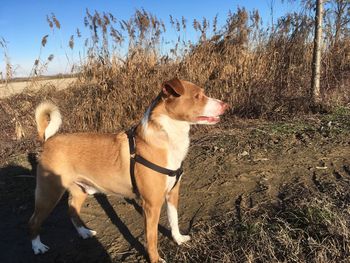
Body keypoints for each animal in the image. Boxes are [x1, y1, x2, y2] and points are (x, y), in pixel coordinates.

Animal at [29, 79, 230, 263]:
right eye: (198, 96)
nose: (225, 105)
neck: (166, 139)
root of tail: (48, 140)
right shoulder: (152, 205)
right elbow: (152, 238)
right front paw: (155, 259)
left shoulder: (172, 194)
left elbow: (174, 220)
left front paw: (178, 239)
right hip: (49, 194)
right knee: (33, 221)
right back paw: (38, 247)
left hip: (80, 191)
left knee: (72, 211)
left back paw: (84, 232)